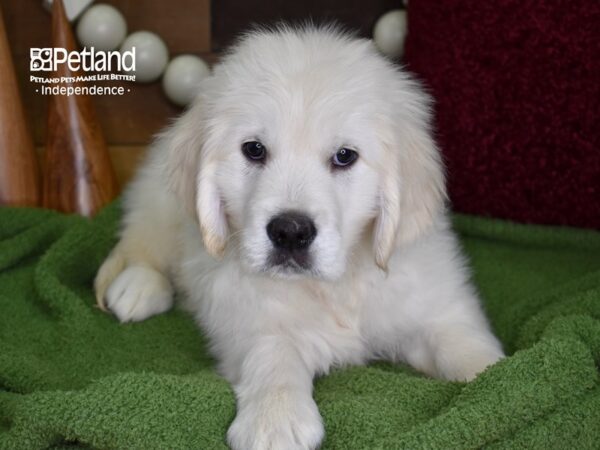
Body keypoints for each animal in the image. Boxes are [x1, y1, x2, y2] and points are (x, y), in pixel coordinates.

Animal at [95, 25, 506, 450]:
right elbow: (273, 349)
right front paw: (275, 419)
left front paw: (498, 378)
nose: (290, 231)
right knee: (143, 237)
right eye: (254, 150)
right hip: (162, 201)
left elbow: (462, 342)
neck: (336, 286)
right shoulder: (244, 314)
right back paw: (138, 286)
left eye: (345, 156)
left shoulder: (434, 302)